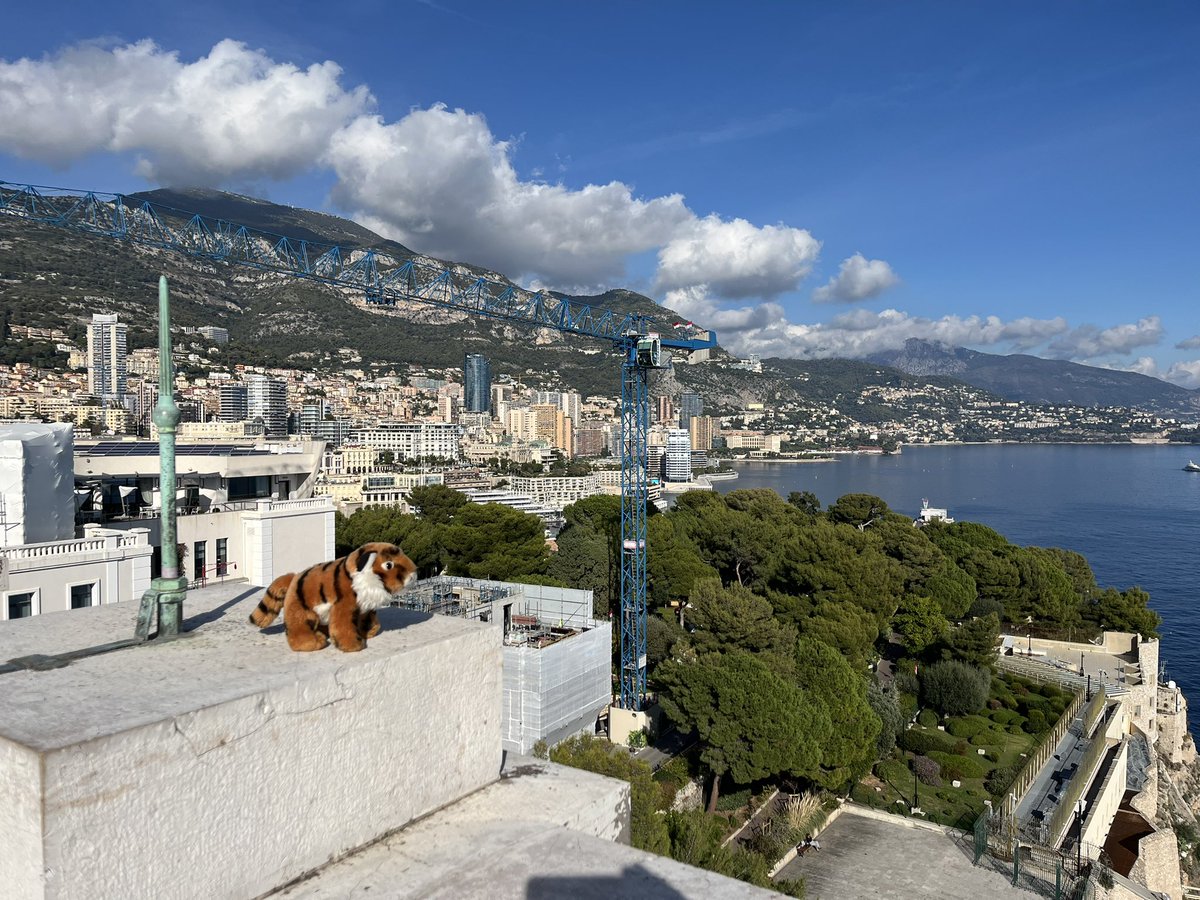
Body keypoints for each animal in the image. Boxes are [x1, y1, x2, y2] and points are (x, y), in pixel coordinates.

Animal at [248, 542, 418, 652]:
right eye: (388, 565)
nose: (414, 573)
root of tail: (294, 576)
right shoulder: (344, 604)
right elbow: (343, 626)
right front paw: (352, 645)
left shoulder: (365, 607)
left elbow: (368, 620)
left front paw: (368, 631)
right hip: (299, 607)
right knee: (298, 627)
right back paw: (312, 642)